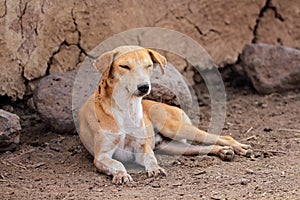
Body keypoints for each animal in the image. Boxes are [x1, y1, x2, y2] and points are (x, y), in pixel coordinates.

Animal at [78, 45, 252, 184]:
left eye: (148, 65)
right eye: (124, 66)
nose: (144, 87)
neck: (127, 108)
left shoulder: (142, 148)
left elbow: (150, 158)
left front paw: (155, 168)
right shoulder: (101, 156)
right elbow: (117, 163)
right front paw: (122, 174)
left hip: (174, 128)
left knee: (223, 137)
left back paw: (240, 147)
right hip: (174, 146)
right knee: (201, 147)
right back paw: (224, 151)